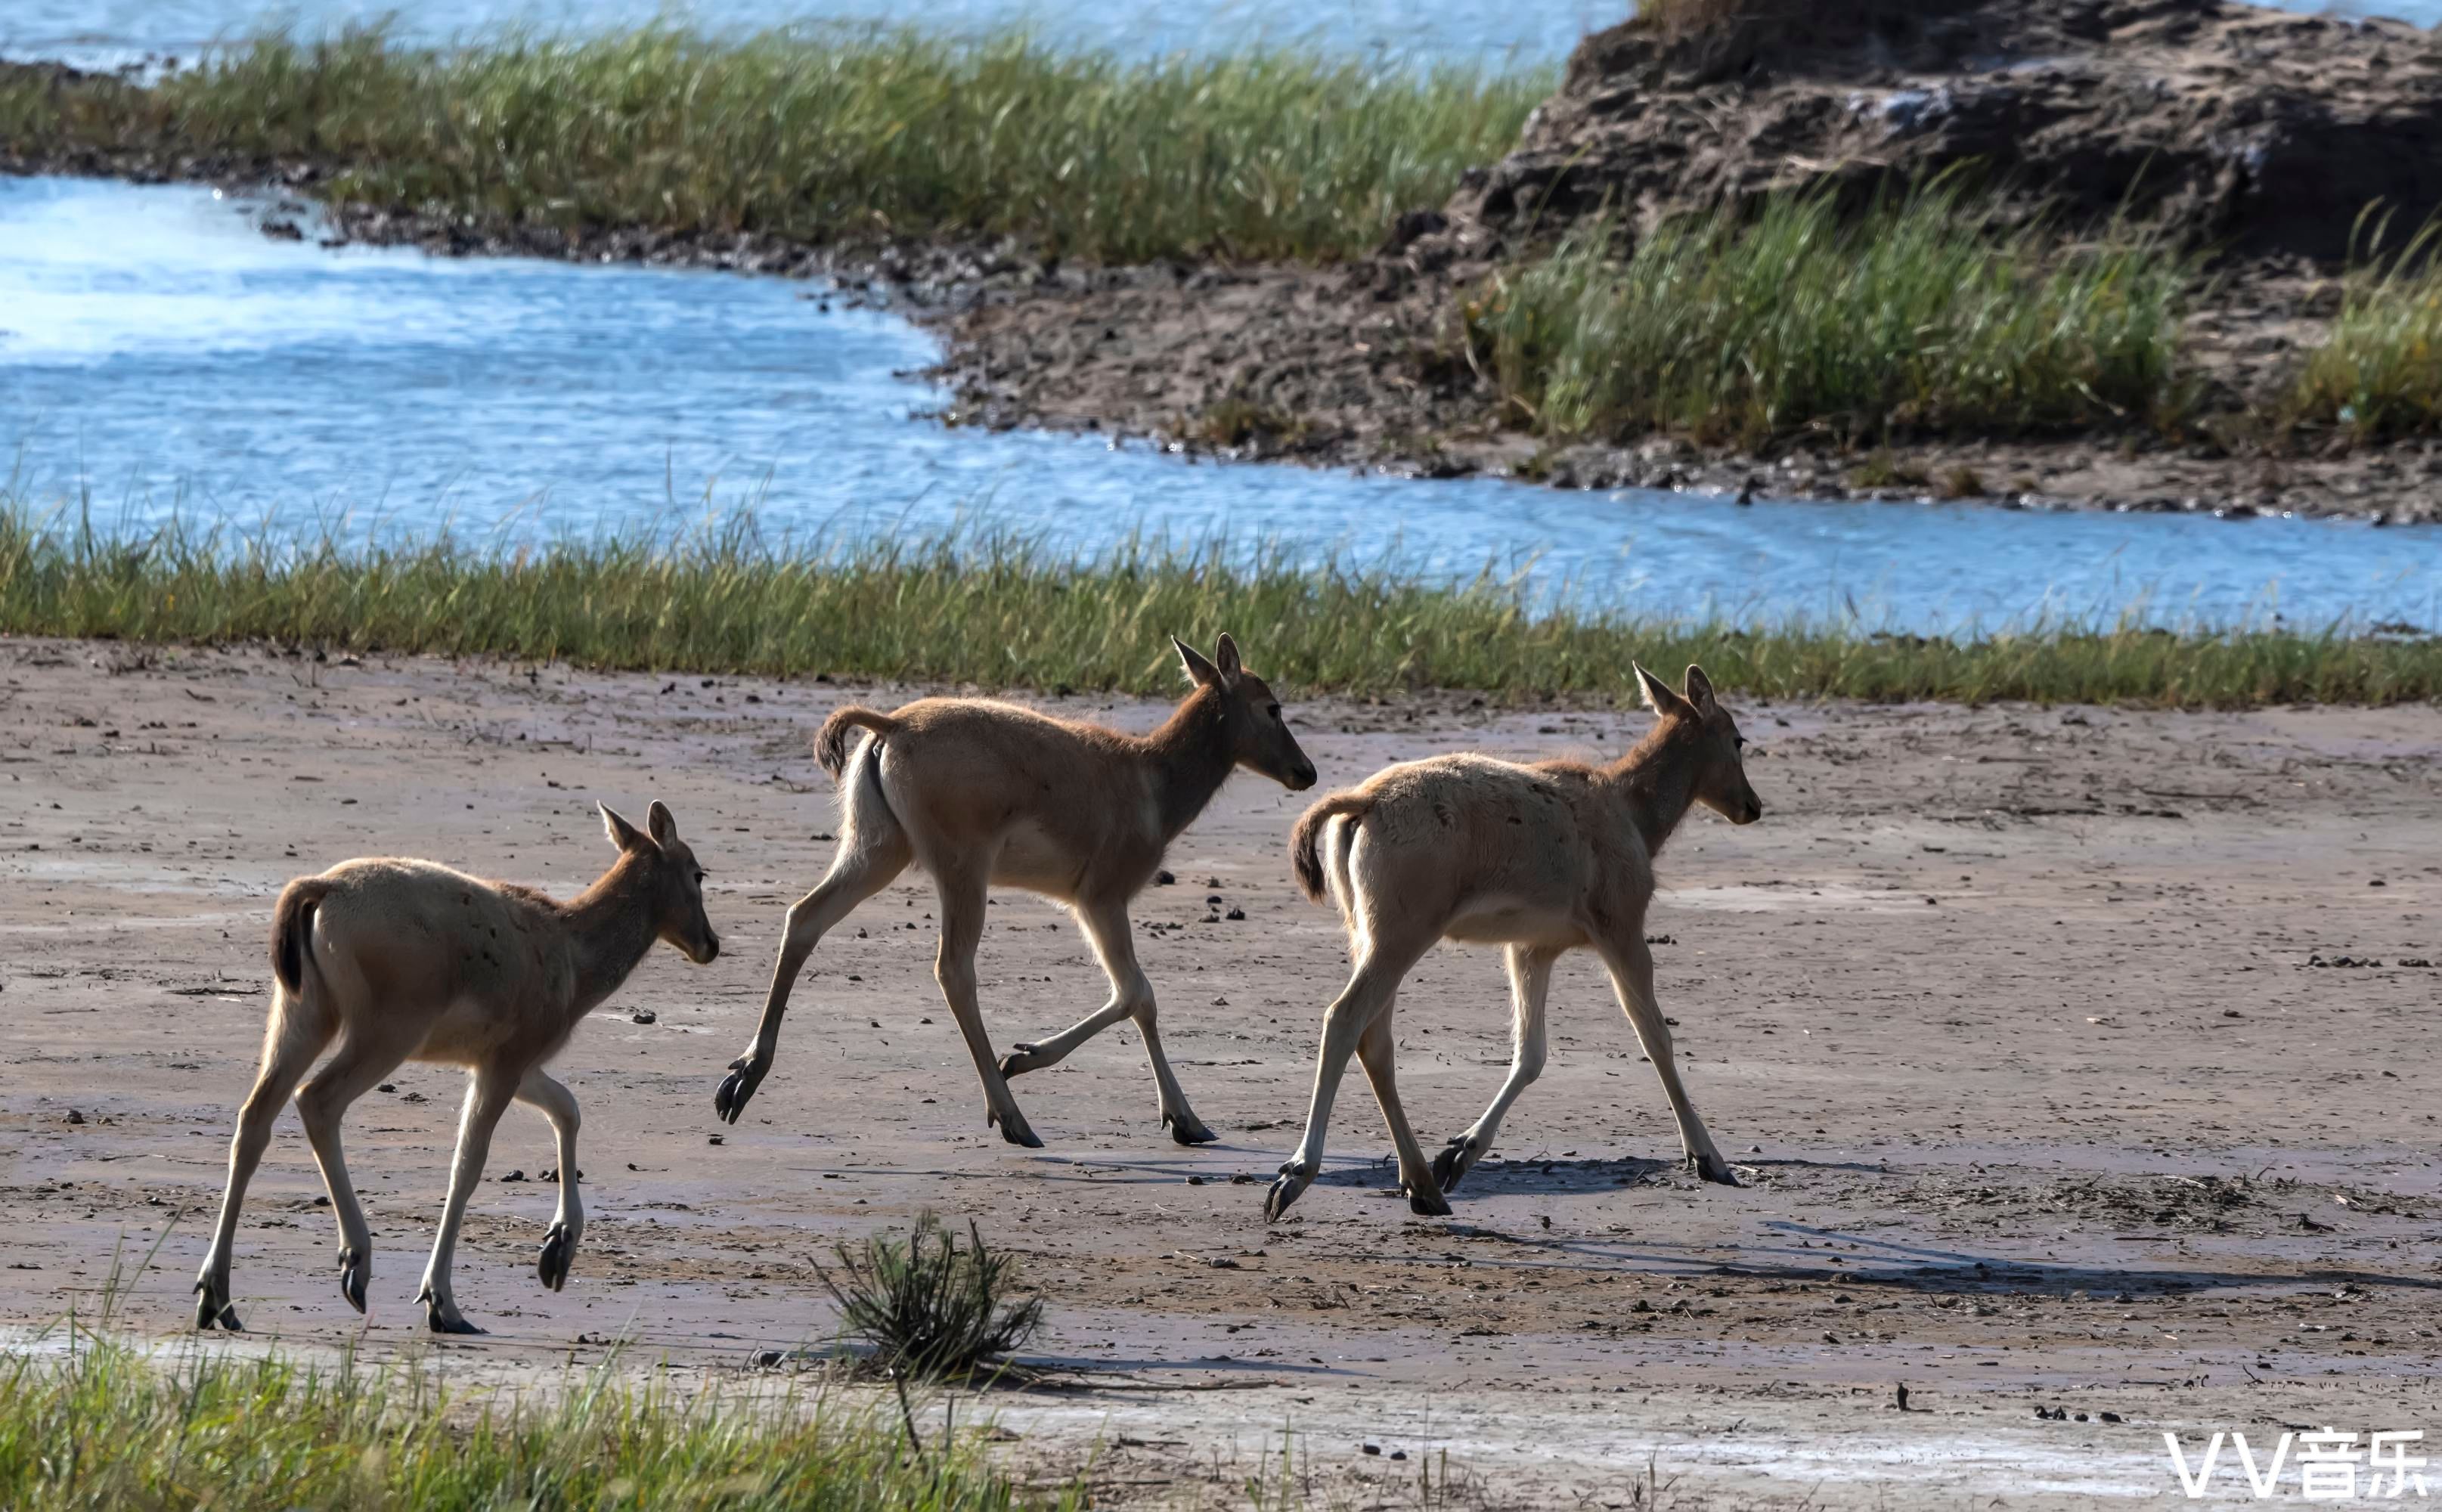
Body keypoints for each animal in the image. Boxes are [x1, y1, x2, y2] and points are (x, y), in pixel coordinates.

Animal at [195, 806, 717, 1338]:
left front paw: (556, 1252)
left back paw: (217, 1297)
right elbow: (467, 1165)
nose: (711, 944)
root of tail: (319, 890)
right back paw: (355, 1264)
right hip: (388, 1027)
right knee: (316, 1099)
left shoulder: (506, 1061)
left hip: (302, 1010)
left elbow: (568, 1109)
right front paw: (442, 1302)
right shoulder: (508, 1059)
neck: (574, 962)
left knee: (254, 1116)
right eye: (698, 872)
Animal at [713, 635, 1319, 1148]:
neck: (1150, 778)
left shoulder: (1092, 905)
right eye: (1271, 706)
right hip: (962, 871)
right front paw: (1185, 1119)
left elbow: (1132, 996)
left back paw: (741, 1080)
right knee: (954, 970)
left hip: (877, 853)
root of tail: (892, 727)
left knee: (804, 918)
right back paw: (1014, 1119)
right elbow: (1138, 995)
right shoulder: (1101, 900)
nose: (1306, 771)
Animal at [1269, 669, 1768, 1225]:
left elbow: (1531, 1053)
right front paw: (1710, 1158)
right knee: (1344, 1018)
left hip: (1368, 931)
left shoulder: (1532, 947)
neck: (1633, 813)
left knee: (1375, 1039)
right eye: (1738, 739)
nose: (1751, 805)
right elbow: (1656, 1037)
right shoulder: (1621, 927)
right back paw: (1296, 1175)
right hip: (1402, 932)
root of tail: (1362, 802)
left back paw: (1423, 1184)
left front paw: (1458, 1153)